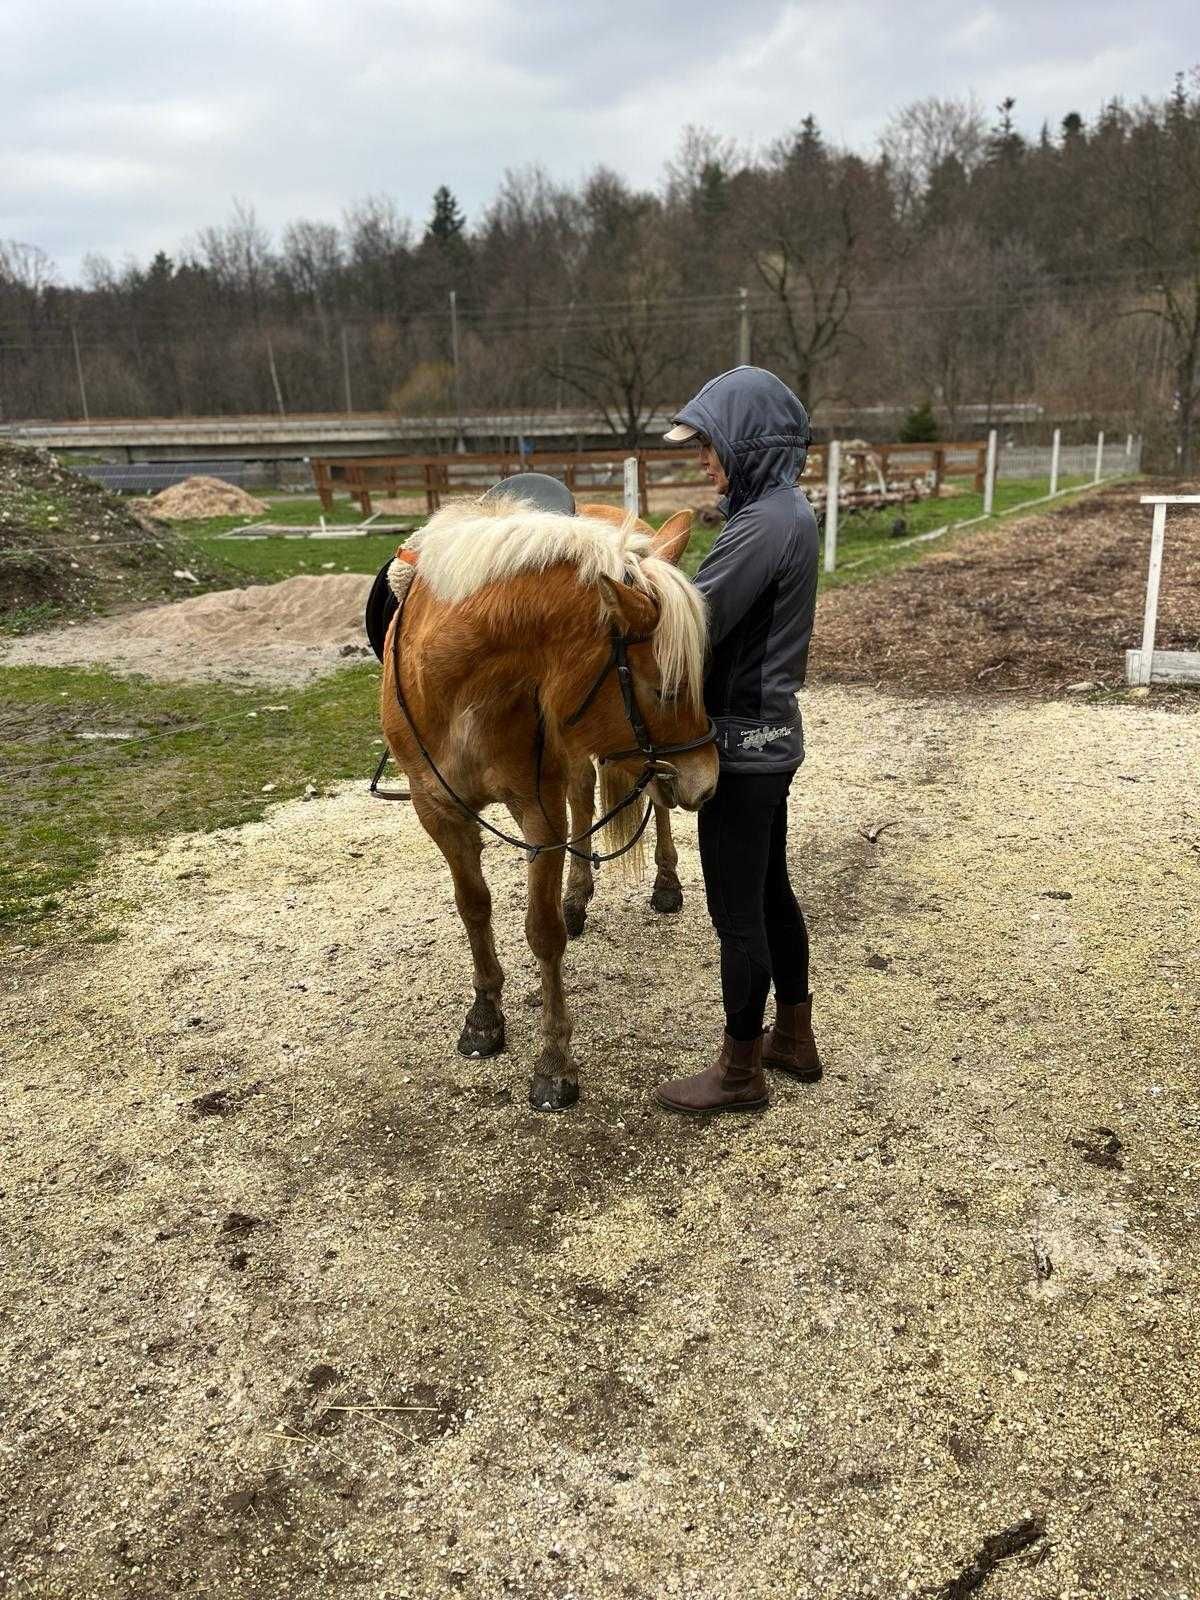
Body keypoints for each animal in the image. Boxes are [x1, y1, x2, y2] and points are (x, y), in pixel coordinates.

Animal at [380, 499, 720, 1113]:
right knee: (585, 800)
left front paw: (555, 1063)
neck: (457, 683)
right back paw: (578, 895)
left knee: (652, 806)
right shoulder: (438, 810)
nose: (707, 783)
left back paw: (664, 882)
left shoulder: (538, 814)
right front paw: (485, 1015)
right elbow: (473, 907)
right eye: (664, 689)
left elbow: (541, 931)